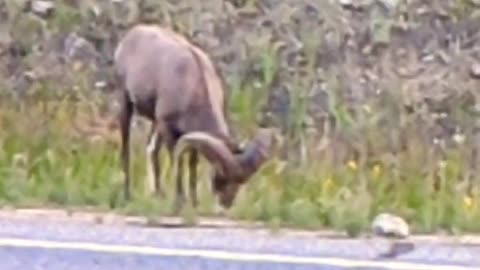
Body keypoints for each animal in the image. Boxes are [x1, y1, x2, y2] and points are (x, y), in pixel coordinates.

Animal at [113, 24, 278, 210]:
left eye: (242, 180)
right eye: (221, 174)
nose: (226, 204)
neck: (193, 86)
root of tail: (132, 34)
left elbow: (192, 165)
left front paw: (194, 202)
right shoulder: (168, 129)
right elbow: (178, 163)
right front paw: (179, 202)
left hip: (155, 123)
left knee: (152, 150)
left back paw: (158, 195)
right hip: (126, 103)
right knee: (126, 149)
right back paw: (127, 195)